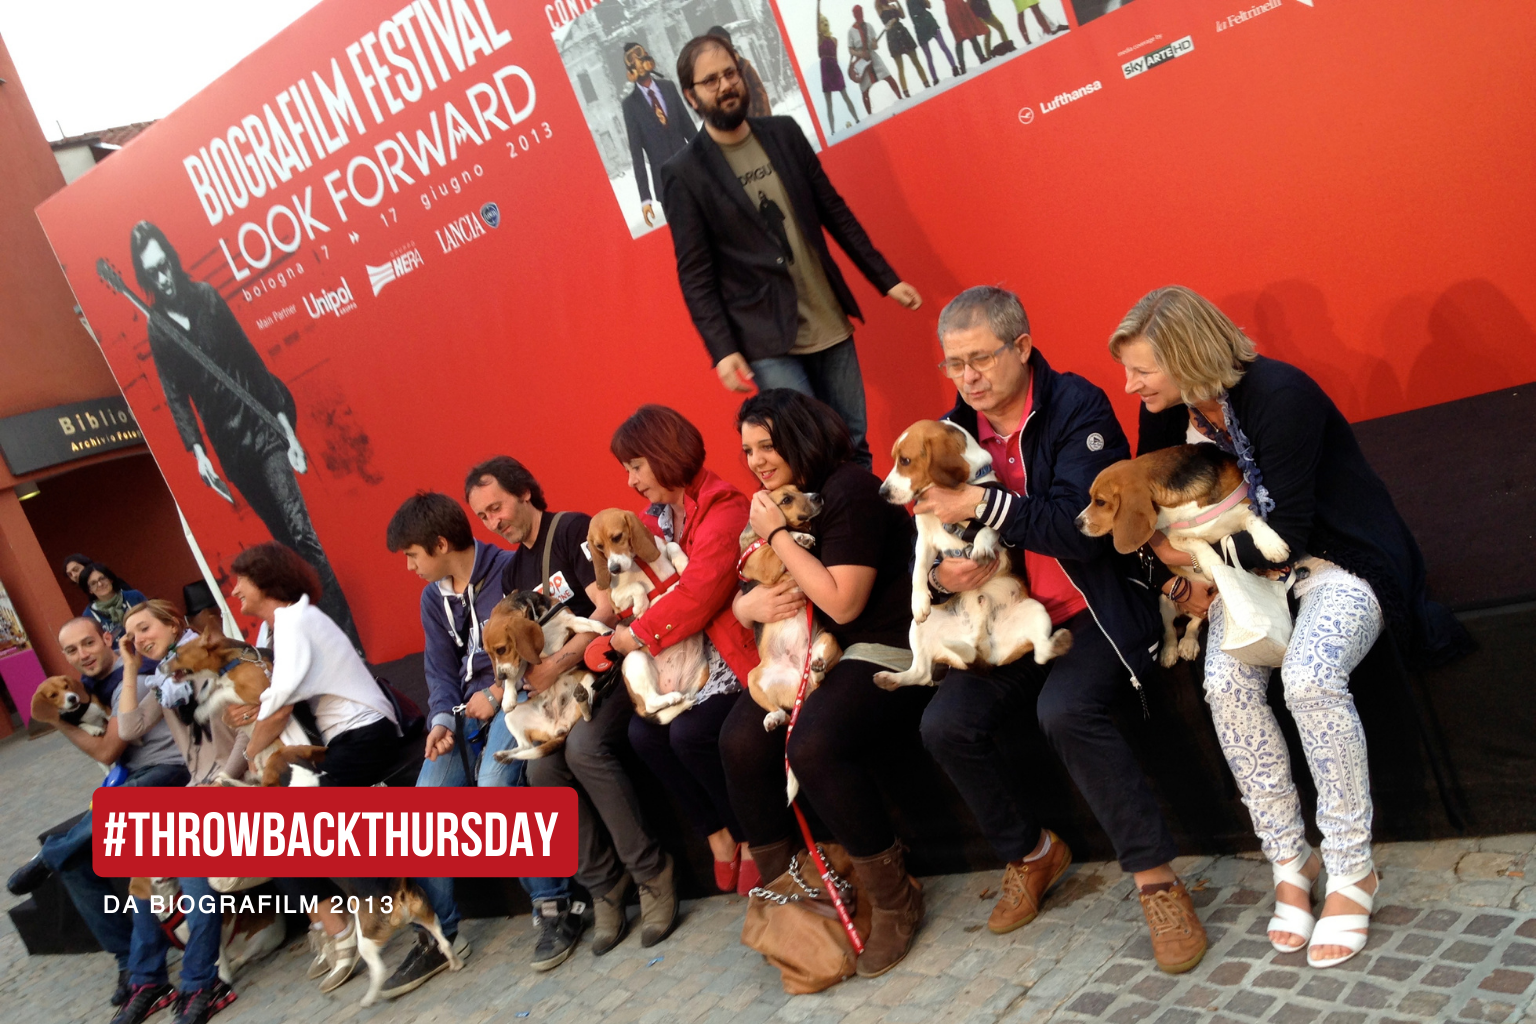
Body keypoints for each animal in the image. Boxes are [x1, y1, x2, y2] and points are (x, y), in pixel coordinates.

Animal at [162, 630, 324, 785]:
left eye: (177, 654)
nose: (159, 667)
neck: (234, 662)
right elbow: (210, 683)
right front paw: (202, 696)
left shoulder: (256, 693)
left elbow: (220, 693)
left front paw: (201, 711)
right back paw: (228, 781)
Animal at [333, 877, 461, 1006]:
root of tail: (397, 891)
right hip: (427, 917)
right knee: (445, 944)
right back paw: (456, 964)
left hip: (366, 941)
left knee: (379, 971)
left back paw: (368, 999)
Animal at [485, 591, 610, 761]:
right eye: (489, 654)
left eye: (501, 649)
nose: (500, 676)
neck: (539, 621)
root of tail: (558, 728)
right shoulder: (525, 659)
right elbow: (512, 677)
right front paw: (508, 699)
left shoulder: (570, 621)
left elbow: (592, 622)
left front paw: (606, 630)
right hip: (510, 718)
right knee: (526, 747)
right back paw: (504, 755)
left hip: (590, 679)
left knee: (588, 713)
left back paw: (582, 699)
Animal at [875, 419, 1072, 688]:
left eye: (905, 460)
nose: (882, 493)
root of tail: (981, 648)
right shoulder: (925, 541)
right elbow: (918, 572)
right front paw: (919, 601)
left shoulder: (996, 512)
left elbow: (987, 526)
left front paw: (981, 546)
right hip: (919, 628)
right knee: (921, 673)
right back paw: (890, 679)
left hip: (1036, 610)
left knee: (1041, 653)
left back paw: (1060, 643)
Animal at [1075, 443, 1290, 666]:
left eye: (1100, 502)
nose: (1077, 523)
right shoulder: (1172, 538)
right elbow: (1196, 541)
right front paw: (1212, 562)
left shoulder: (1240, 509)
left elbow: (1253, 520)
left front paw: (1272, 545)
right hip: (1165, 603)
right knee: (1171, 631)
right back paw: (1171, 651)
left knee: (1193, 625)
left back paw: (1188, 643)